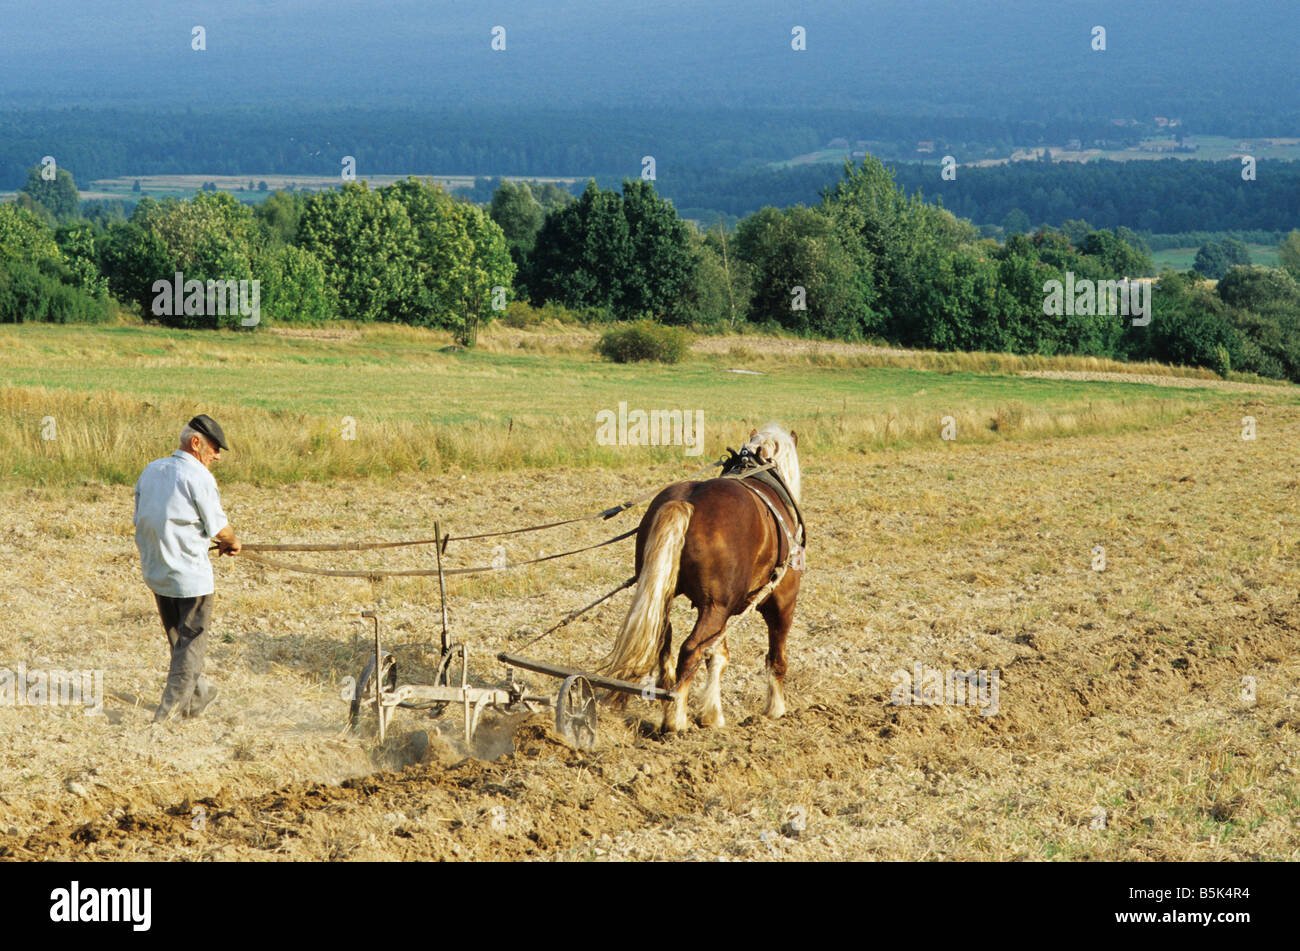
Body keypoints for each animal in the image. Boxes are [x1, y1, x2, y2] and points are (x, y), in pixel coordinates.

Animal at [598, 426, 800, 732]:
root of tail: (686, 502)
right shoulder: (781, 598)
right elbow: (776, 656)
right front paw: (774, 708)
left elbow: (717, 656)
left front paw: (711, 714)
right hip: (716, 607)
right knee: (690, 649)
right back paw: (675, 718)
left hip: (676, 599)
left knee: (666, 641)